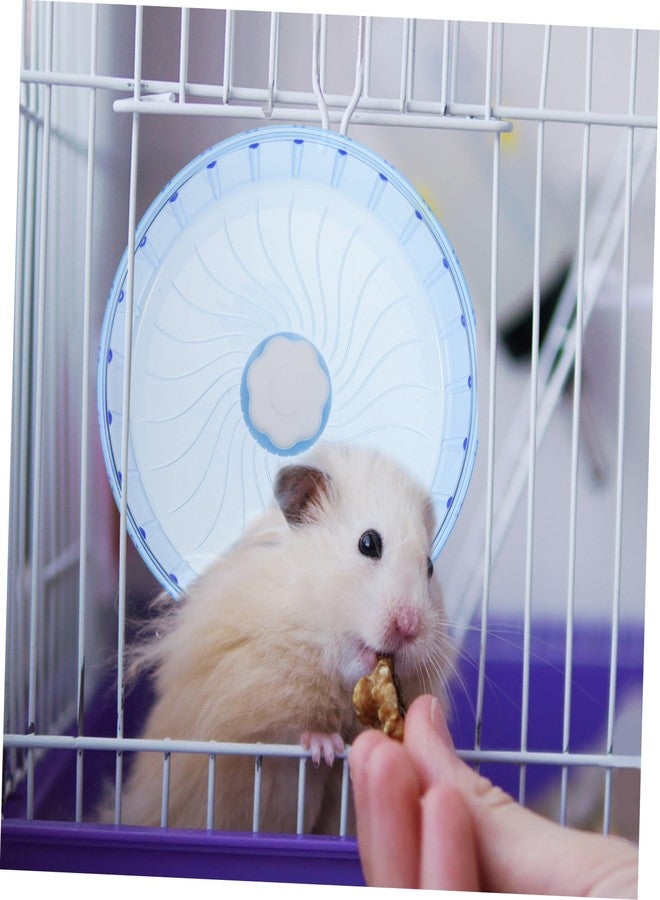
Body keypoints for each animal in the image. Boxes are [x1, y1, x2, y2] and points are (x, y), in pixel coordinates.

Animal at [98, 442, 454, 834]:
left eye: (429, 567)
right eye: (368, 543)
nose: (410, 627)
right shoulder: (246, 687)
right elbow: (286, 729)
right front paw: (326, 748)